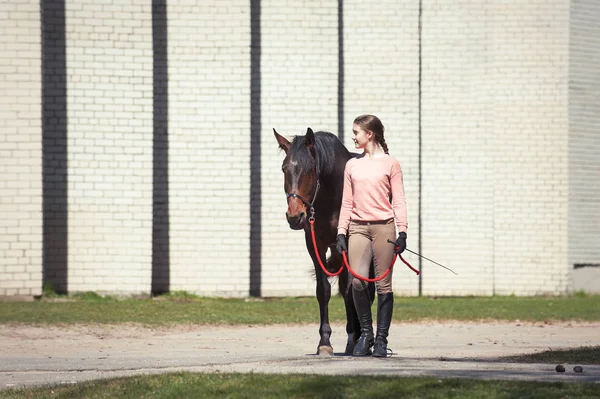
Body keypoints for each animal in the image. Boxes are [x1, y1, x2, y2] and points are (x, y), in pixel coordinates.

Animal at [274, 128, 372, 356]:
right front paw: (325, 342)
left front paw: (355, 339)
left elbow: (349, 291)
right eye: (284, 169)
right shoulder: (314, 245)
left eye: (310, 170)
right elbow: (324, 290)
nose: (295, 217)